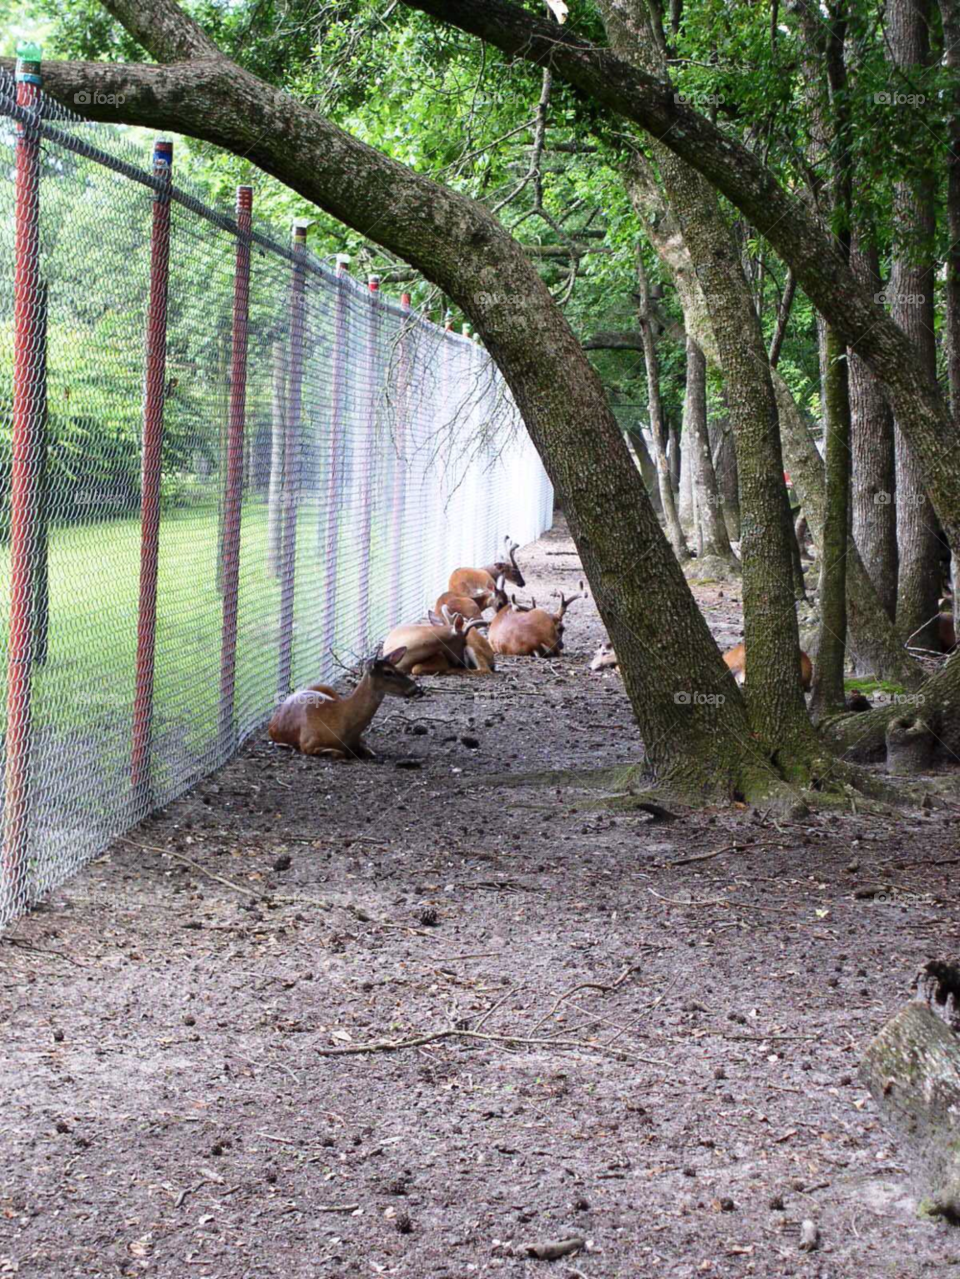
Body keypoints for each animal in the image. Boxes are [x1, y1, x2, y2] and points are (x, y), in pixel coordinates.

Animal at [268, 649, 421, 757]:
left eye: (398, 669)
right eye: (388, 672)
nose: (415, 688)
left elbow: (368, 750)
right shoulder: (307, 742)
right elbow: (338, 753)